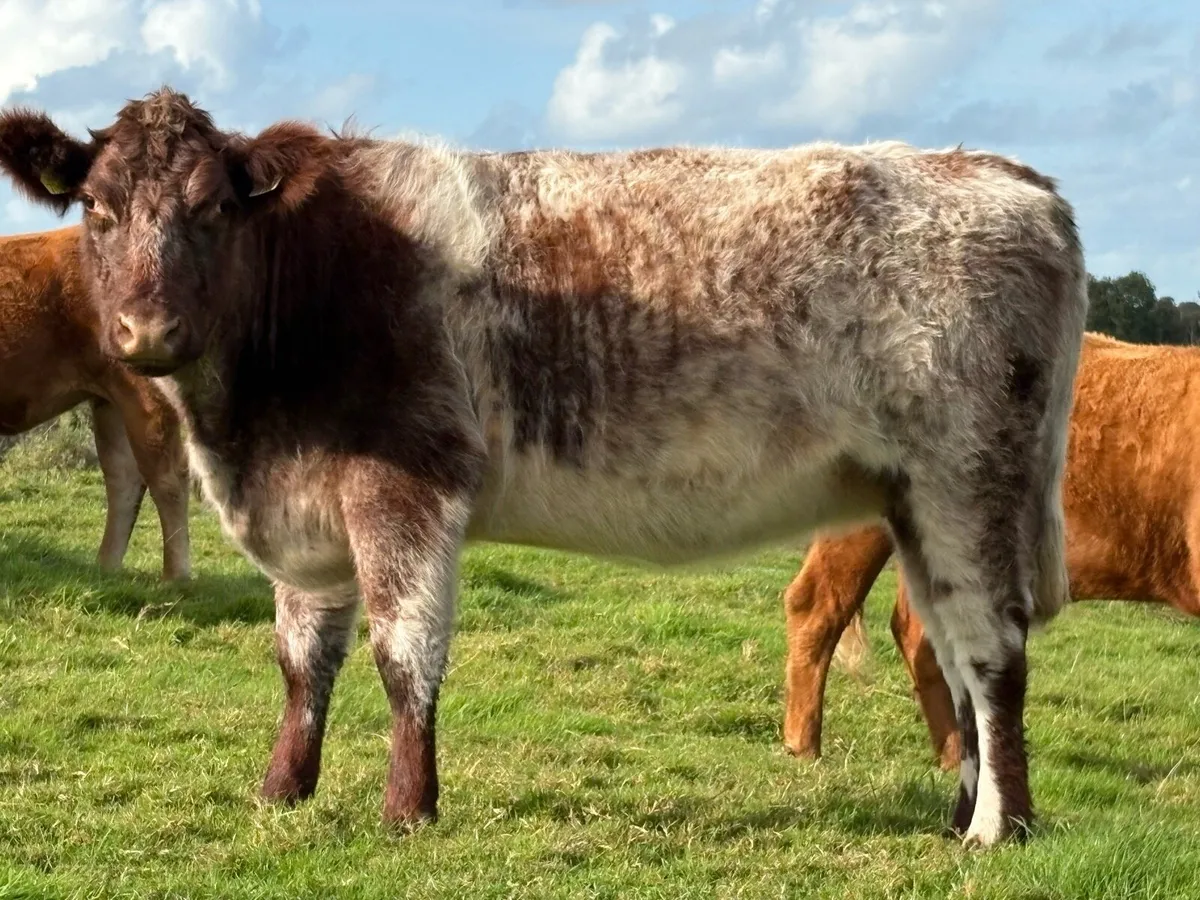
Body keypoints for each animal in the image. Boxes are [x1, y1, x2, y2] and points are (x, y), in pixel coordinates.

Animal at [0, 225, 189, 581]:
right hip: (111, 400)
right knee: (124, 478)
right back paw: (106, 570)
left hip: (145, 394)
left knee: (167, 480)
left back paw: (176, 578)